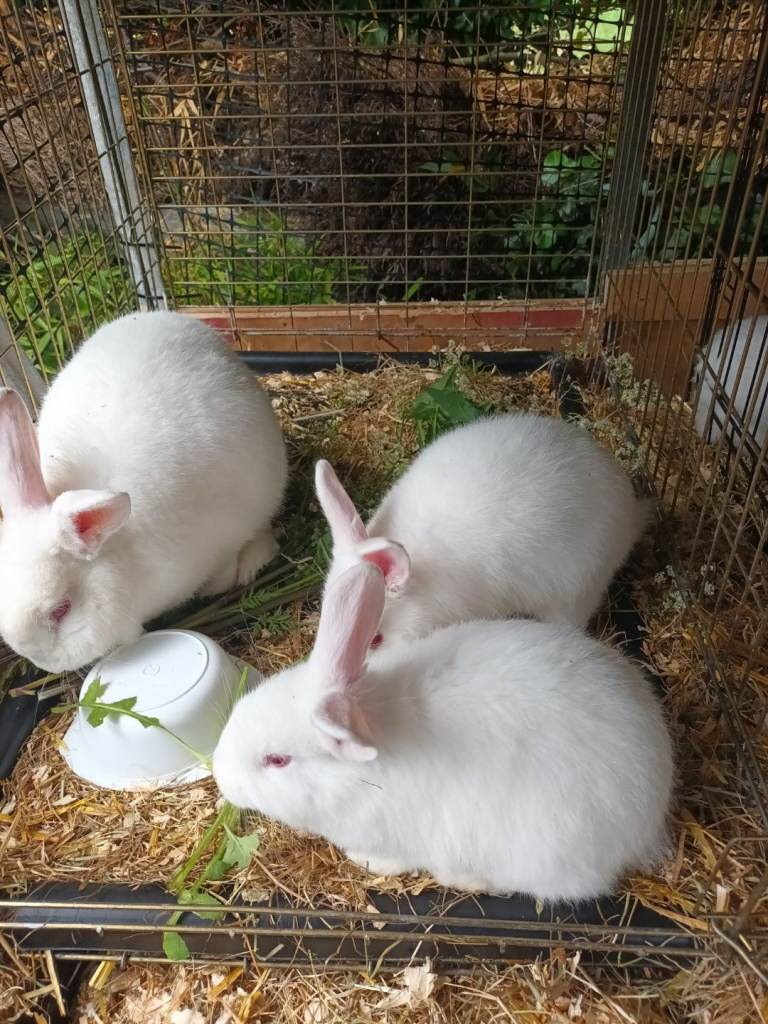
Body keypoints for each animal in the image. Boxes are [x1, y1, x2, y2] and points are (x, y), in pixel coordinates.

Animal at [0, 310, 288, 673]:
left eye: (61, 610)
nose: (46, 665)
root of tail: (172, 316)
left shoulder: (221, 543)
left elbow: (222, 573)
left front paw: (216, 586)